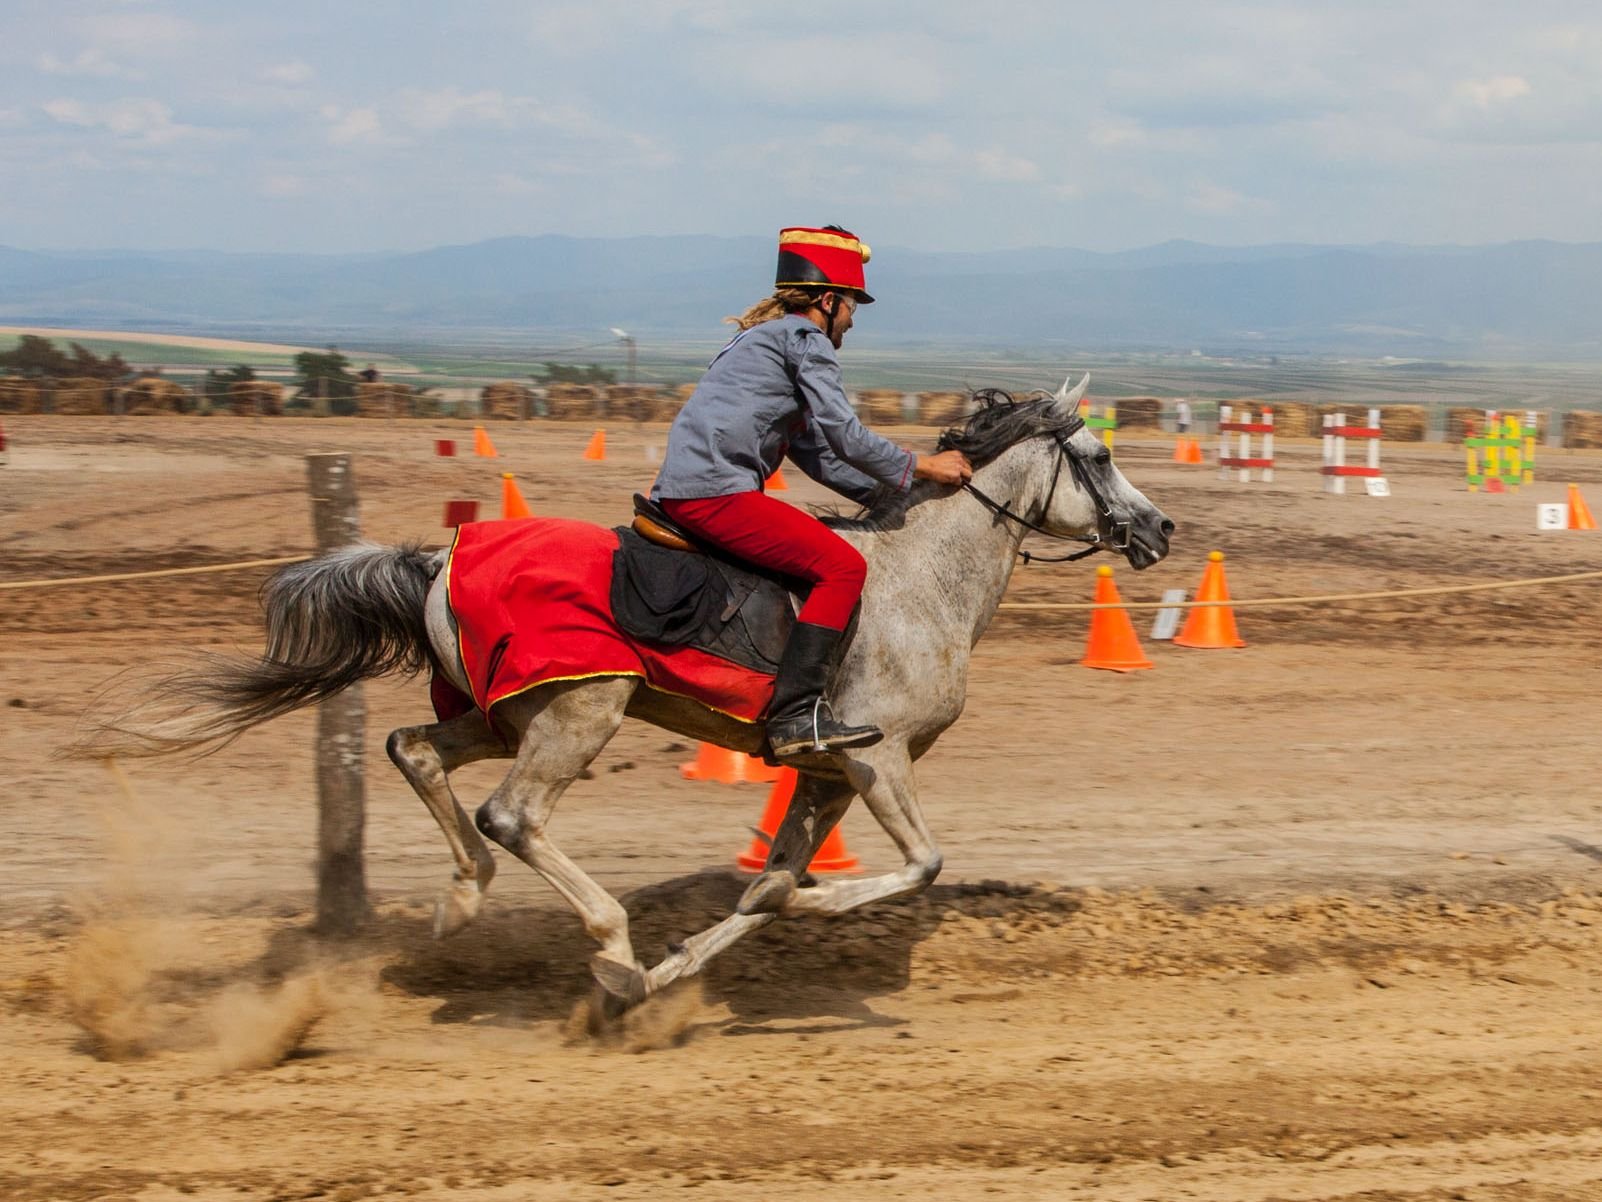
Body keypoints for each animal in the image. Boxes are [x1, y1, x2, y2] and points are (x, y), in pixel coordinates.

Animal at [109, 376, 1166, 1019]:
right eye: (1100, 457)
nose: (1157, 530)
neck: (919, 582)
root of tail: (439, 558)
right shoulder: (878, 760)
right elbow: (919, 865)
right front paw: (811, 910)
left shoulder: (825, 773)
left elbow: (767, 888)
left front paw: (676, 973)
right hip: (582, 709)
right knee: (510, 814)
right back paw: (607, 942)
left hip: (505, 711)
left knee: (414, 751)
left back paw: (464, 902)